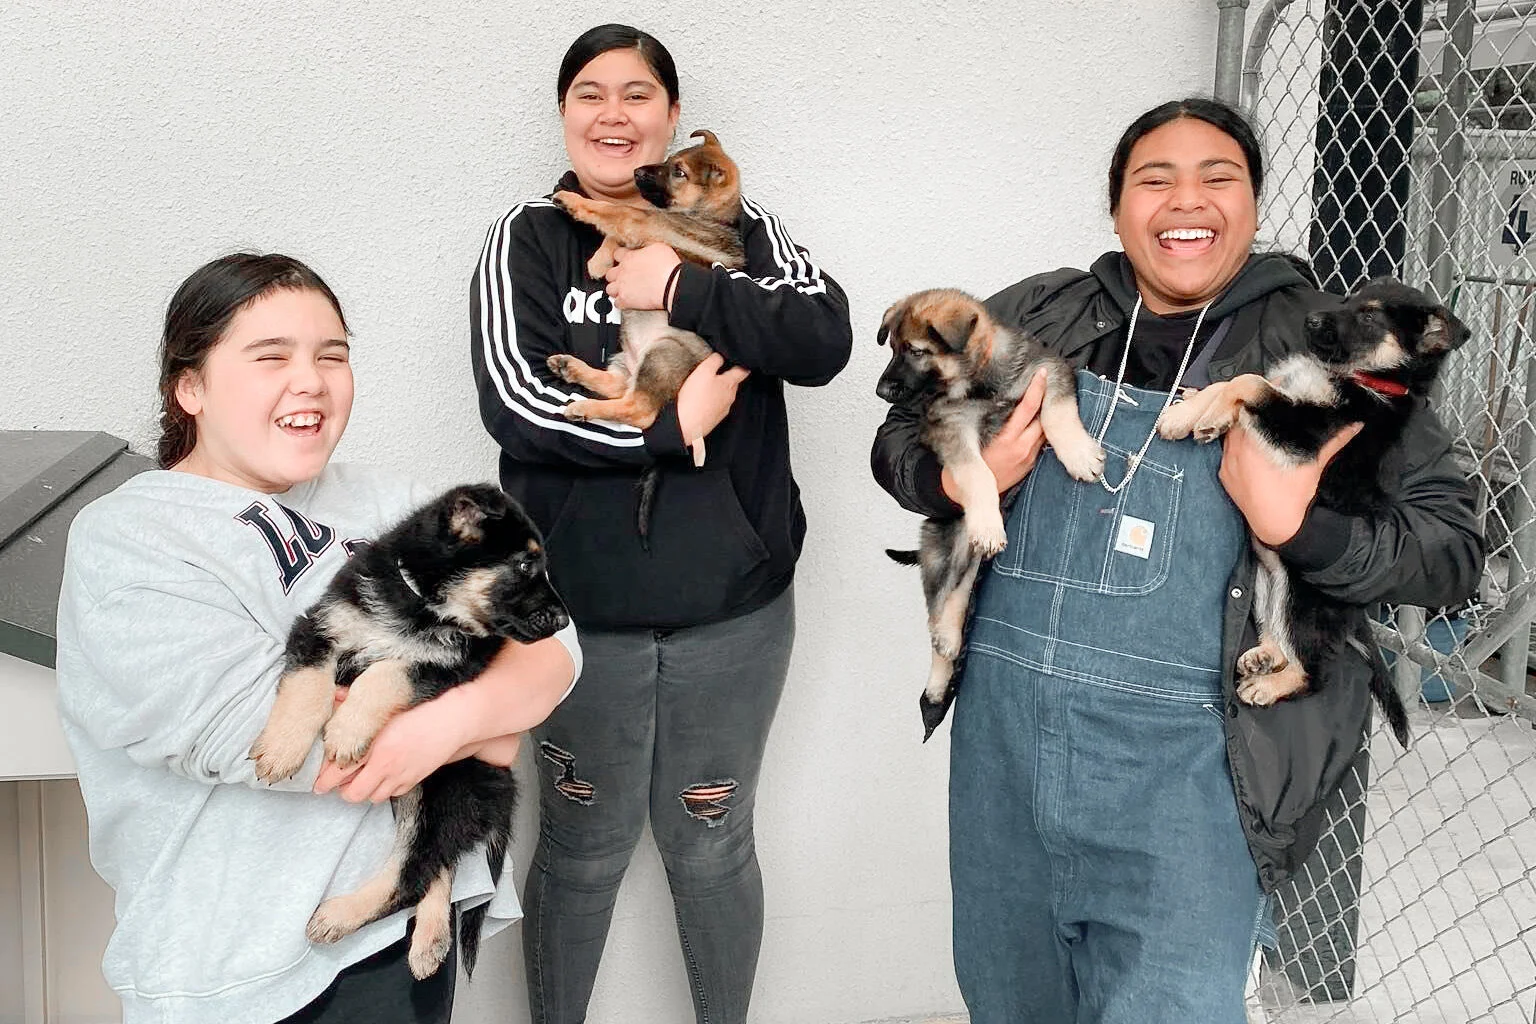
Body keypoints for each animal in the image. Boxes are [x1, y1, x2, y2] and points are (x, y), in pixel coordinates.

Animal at [248, 484, 569, 979]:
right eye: (523, 565)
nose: (564, 622)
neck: (424, 607)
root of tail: (504, 784)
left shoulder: (441, 670)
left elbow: (386, 673)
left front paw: (347, 730)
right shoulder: (322, 626)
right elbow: (309, 683)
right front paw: (283, 747)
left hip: (441, 791)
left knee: (416, 871)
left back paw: (343, 916)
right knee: (438, 865)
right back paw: (430, 939)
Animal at [877, 289, 1106, 738]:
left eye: (915, 351)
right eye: (892, 348)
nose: (881, 391)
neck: (979, 385)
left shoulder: (1049, 372)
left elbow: (1058, 412)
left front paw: (1078, 453)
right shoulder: (951, 428)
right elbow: (977, 471)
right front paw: (987, 518)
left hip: (967, 560)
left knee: (959, 597)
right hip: (946, 556)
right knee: (939, 615)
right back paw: (939, 671)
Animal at [1156, 278, 1471, 746]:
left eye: (1370, 316)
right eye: (1350, 299)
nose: (1311, 319)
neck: (1359, 378)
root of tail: (1358, 617)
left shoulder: (1308, 431)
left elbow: (1250, 381)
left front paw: (1199, 414)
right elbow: (1236, 381)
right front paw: (1195, 410)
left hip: (1304, 602)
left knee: (1316, 672)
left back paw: (1270, 687)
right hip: (1268, 585)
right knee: (1280, 636)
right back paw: (1264, 659)